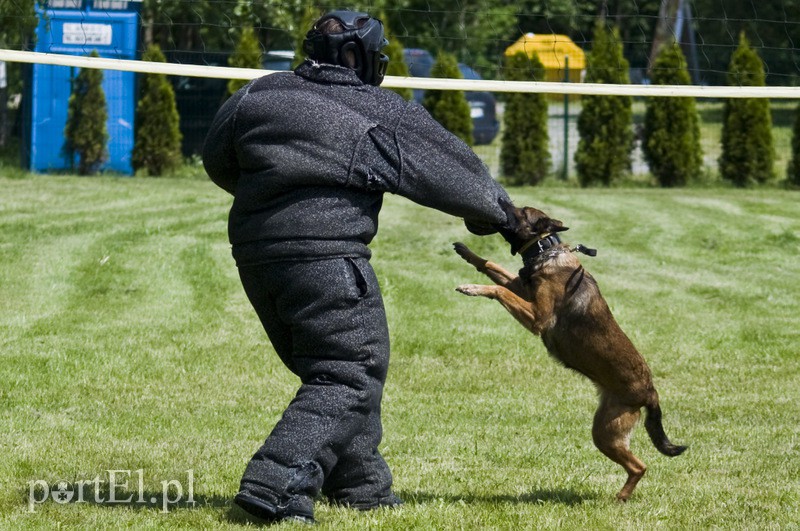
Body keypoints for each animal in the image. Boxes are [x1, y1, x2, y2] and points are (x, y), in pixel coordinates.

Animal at [454, 207, 684, 502]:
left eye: (520, 211)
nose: (501, 205)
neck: (546, 250)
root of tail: (651, 391)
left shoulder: (537, 316)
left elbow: (499, 288)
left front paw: (472, 288)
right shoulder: (521, 286)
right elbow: (492, 265)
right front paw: (467, 252)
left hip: (605, 432)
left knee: (640, 466)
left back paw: (620, 498)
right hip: (605, 426)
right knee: (638, 465)